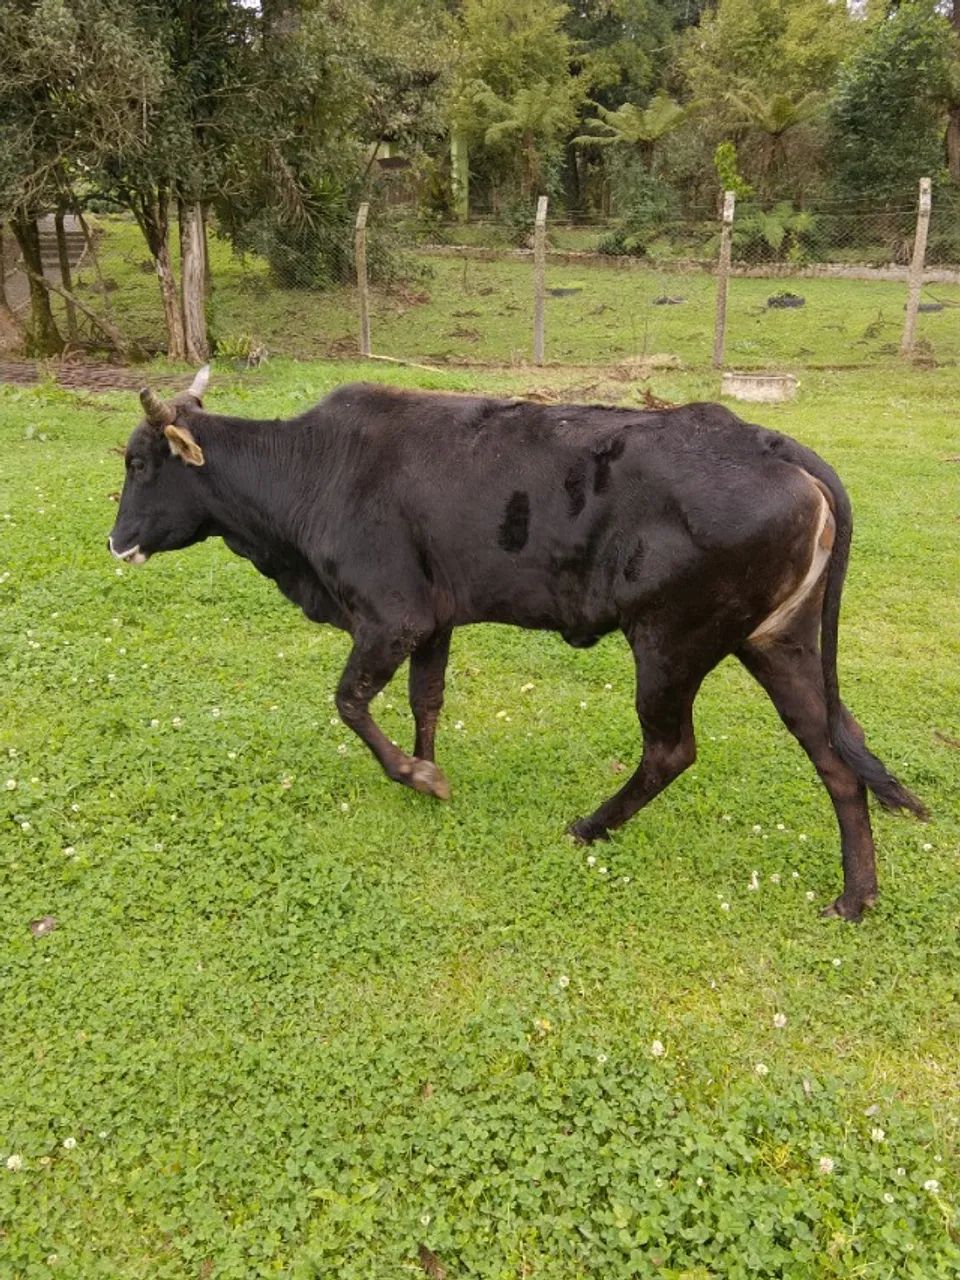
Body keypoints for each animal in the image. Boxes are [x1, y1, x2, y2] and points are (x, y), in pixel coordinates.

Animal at [108, 366, 925, 921]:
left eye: (140, 464)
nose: (115, 543)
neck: (311, 476)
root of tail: (768, 440)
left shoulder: (392, 616)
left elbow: (349, 702)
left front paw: (418, 776)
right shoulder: (435, 620)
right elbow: (425, 699)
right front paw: (428, 771)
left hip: (670, 640)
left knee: (673, 751)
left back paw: (590, 827)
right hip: (778, 640)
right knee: (834, 747)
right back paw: (856, 897)